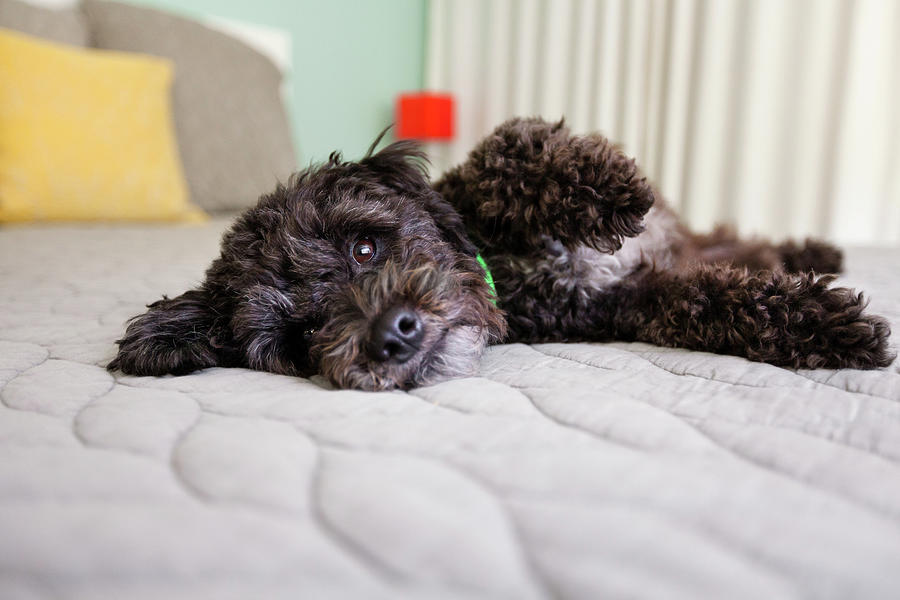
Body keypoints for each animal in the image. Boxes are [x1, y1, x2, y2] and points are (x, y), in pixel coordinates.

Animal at [107, 118, 892, 392]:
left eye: (365, 244)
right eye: (301, 338)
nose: (392, 336)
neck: (506, 273)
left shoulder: (474, 187)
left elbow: (509, 149)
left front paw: (610, 189)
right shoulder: (627, 303)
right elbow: (709, 303)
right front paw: (829, 327)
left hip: (696, 239)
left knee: (746, 243)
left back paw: (818, 249)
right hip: (690, 258)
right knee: (736, 260)